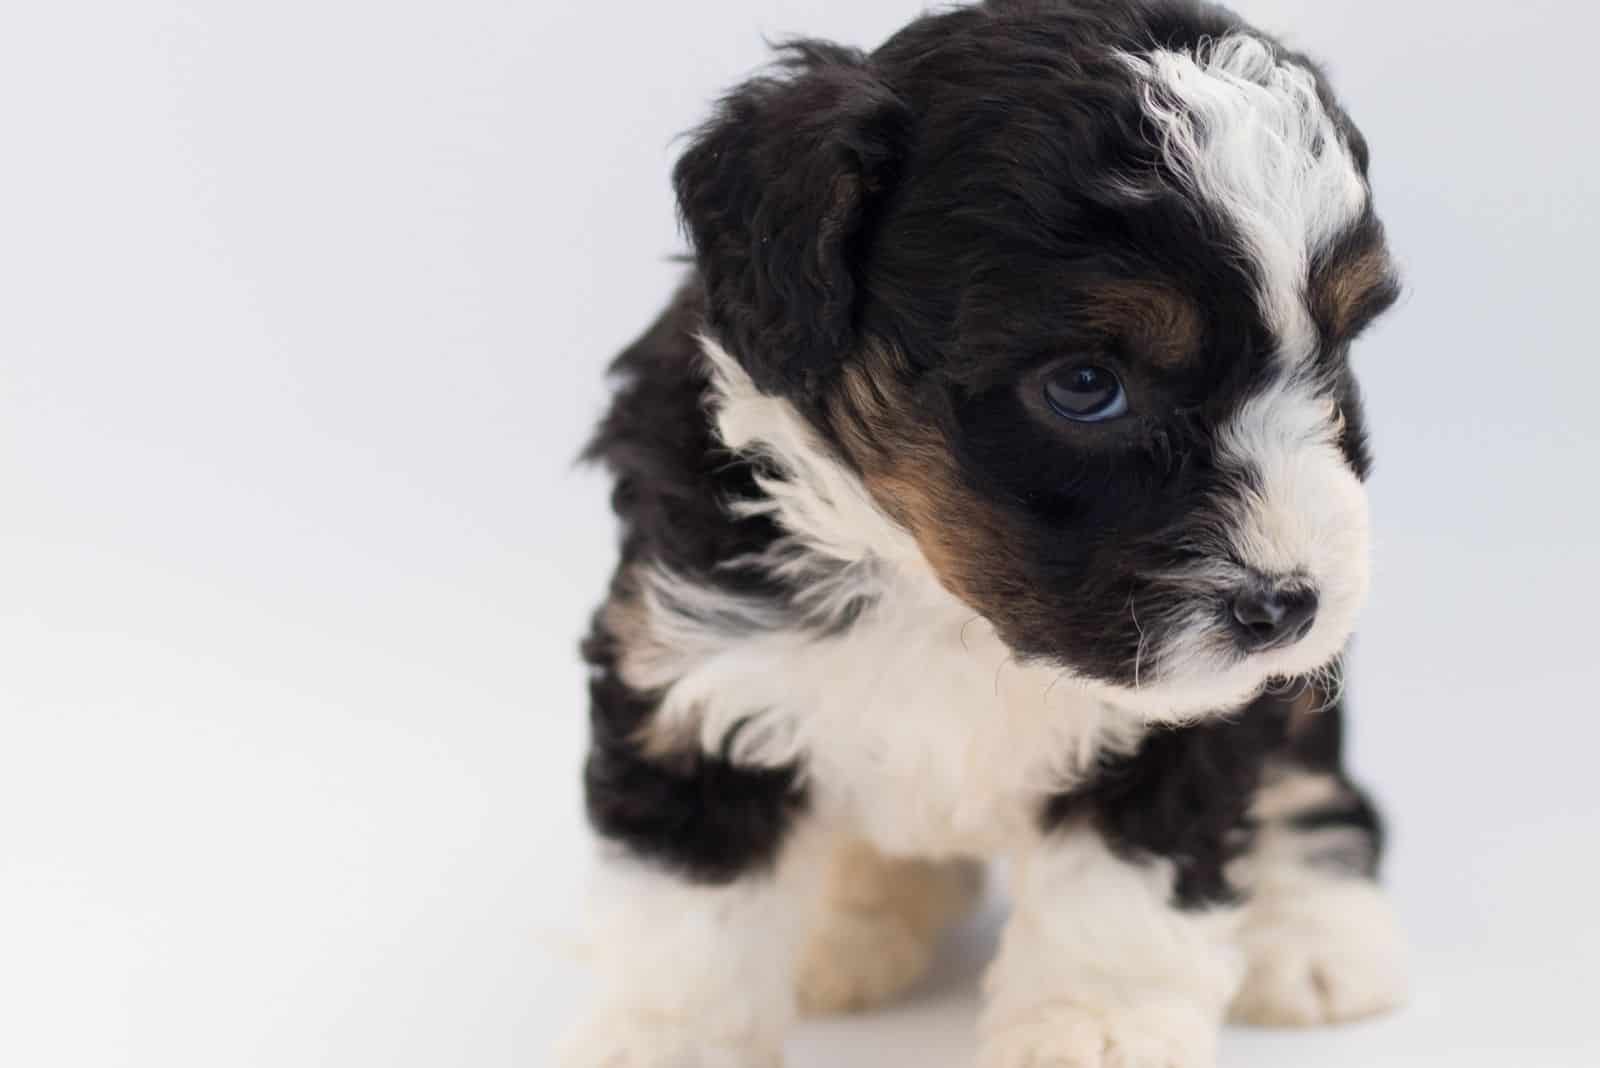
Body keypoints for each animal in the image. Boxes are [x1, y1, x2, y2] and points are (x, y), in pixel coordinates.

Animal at [569, 4, 1408, 1061]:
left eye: (1333, 356)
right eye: (1085, 385)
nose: (1289, 606)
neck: (934, 589)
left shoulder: (1185, 725)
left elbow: (1120, 893)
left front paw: (1093, 1027)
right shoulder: (687, 668)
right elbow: (690, 914)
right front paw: (668, 1039)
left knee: (1308, 781)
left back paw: (1314, 933)